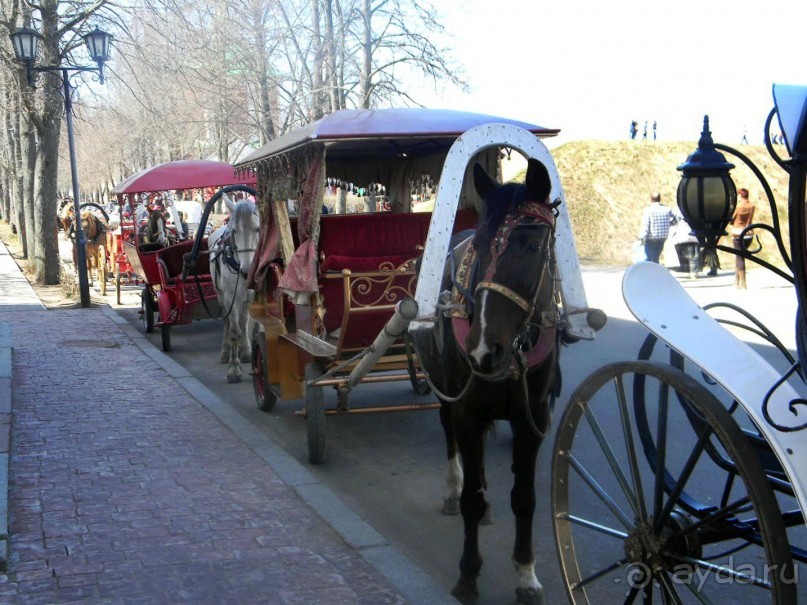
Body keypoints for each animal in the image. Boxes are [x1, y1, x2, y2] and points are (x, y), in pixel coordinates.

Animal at [210, 196, 260, 380]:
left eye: (257, 229)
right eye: (235, 231)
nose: (247, 270)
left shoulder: (250, 295)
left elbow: (245, 323)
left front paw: (246, 352)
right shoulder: (230, 297)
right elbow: (233, 331)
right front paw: (233, 369)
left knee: (243, 321)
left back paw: (245, 350)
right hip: (221, 295)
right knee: (227, 322)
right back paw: (226, 352)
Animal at [414, 158, 560, 600]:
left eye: (532, 247)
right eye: (479, 243)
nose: (482, 349)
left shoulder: (533, 420)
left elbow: (525, 498)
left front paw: (526, 574)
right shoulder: (466, 411)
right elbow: (471, 500)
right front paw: (467, 574)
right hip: (448, 396)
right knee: (451, 440)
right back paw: (453, 488)